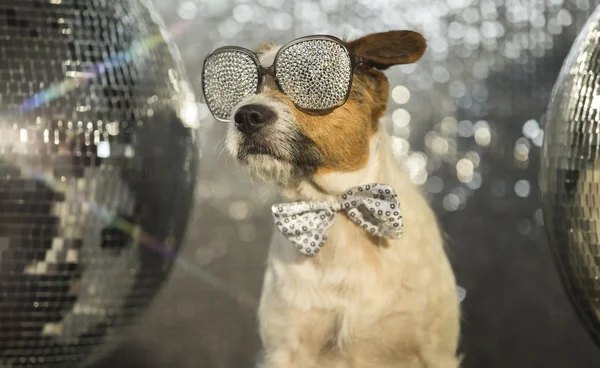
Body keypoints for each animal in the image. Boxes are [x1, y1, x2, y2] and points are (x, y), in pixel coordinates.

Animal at [209, 29, 462, 368]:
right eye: (242, 88)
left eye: (313, 80)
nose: (246, 115)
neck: (336, 207)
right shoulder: (287, 348)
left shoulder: (435, 351)